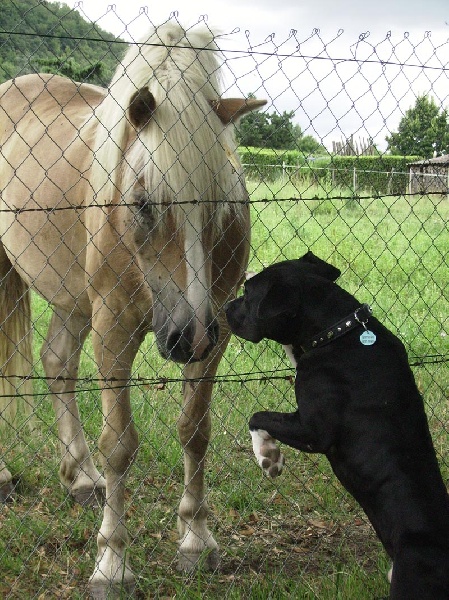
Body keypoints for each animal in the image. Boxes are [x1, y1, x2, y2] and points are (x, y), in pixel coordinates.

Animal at [0, 22, 264, 596]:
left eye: (220, 201)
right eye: (144, 202)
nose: (189, 335)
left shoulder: (218, 328)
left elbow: (195, 429)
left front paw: (196, 541)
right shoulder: (114, 326)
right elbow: (119, 444)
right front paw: (113, 564)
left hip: (74, 298)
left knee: (58, 363)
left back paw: (80, 478)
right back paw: (5, 476)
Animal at [226, 251, 448, 596]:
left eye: (249, 294)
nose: (226, 308)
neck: (337, 332)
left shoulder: (313, 431)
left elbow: (258, 416)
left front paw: (268, 457)